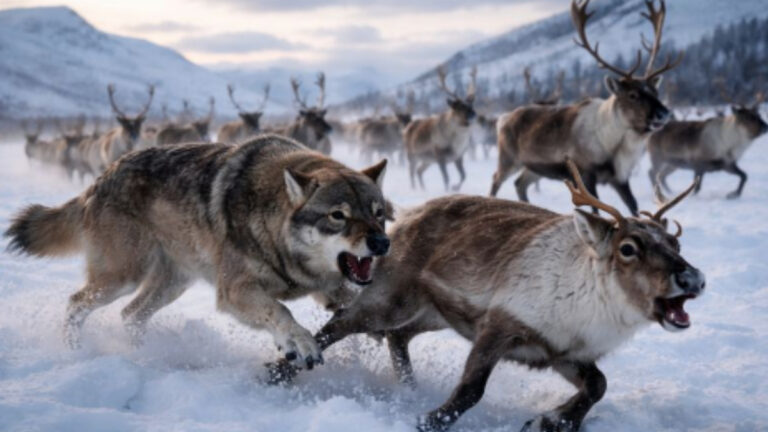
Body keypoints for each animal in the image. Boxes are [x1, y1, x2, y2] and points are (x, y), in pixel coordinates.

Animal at [5, 134, 390, 370]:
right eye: (338, 215)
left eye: (378, 213)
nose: (382, 243)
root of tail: (100, 179)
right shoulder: (234, 291)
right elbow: (280, 310)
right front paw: (300, 342)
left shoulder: (329, 287)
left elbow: (351, 301)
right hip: (123, 278)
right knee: (76, 303)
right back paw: (75, 351)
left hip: (172, 285)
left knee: (130, 315)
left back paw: (145, 355)